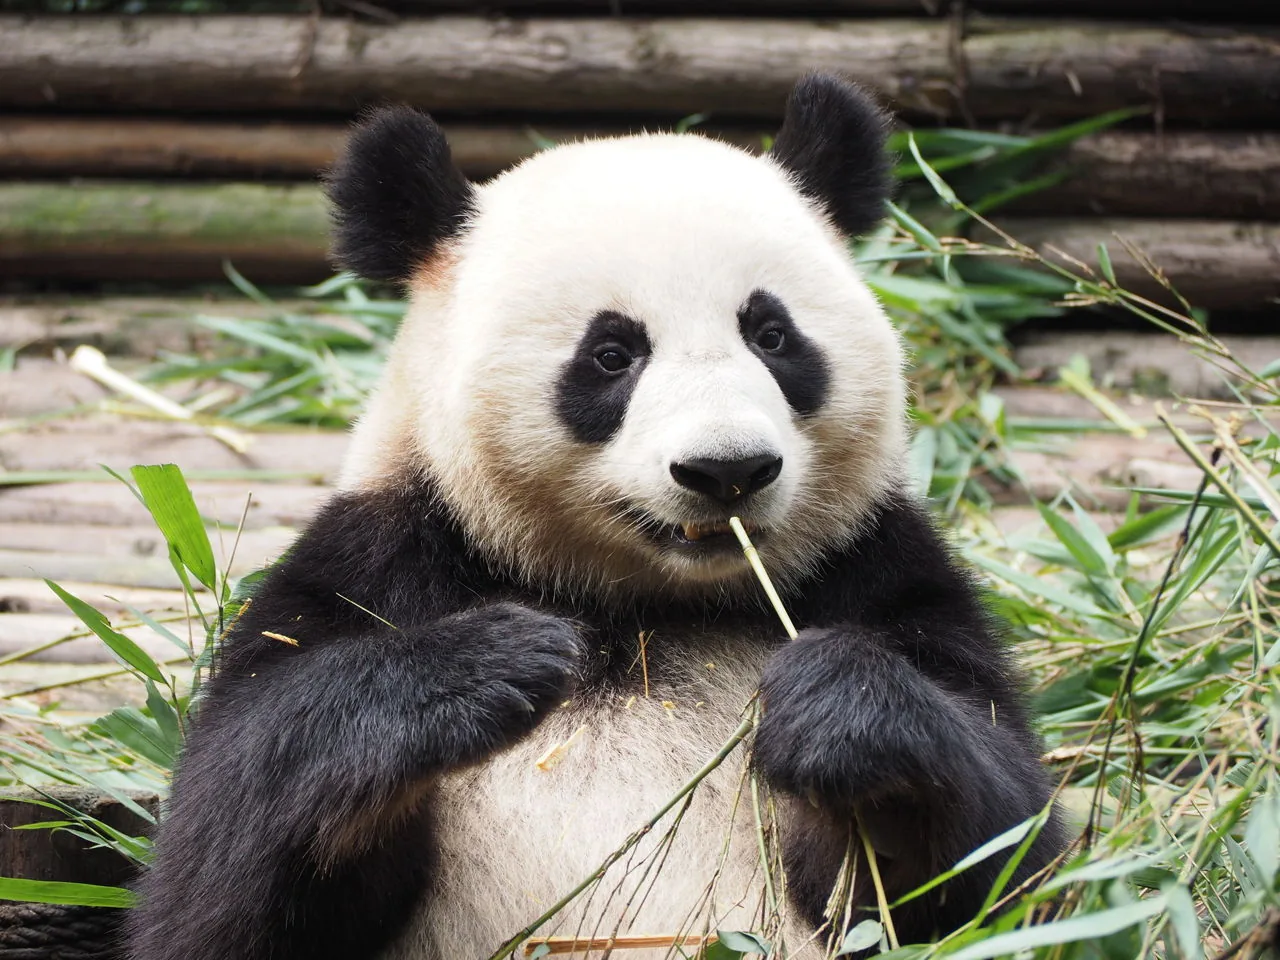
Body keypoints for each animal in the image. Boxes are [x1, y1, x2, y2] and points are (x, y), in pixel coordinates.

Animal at [128, 74, 1065, 960]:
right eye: (612, 355)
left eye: (772, 335)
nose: (727, 471)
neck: (640, 608)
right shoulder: (378, 561)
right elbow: (215, 875)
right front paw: (490, 665)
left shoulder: (879, 568)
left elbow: (1001, 855)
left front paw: (832, 706)